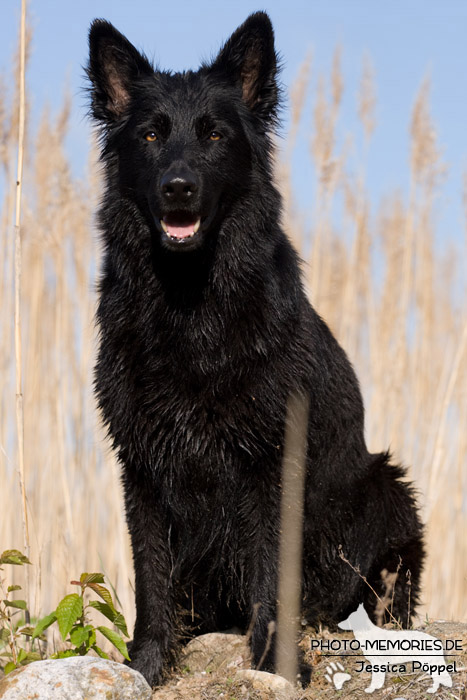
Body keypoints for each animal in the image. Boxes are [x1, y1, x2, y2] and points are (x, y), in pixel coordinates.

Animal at [87, 12, 424, 688]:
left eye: (214, 135)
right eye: (152, 135)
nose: (179, 188)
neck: (191, 305)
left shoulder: (272, 460)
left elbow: (272, 571)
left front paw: (275, 666)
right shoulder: (141, 462)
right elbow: (151, 575)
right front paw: (148, 666)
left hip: (387, 485)